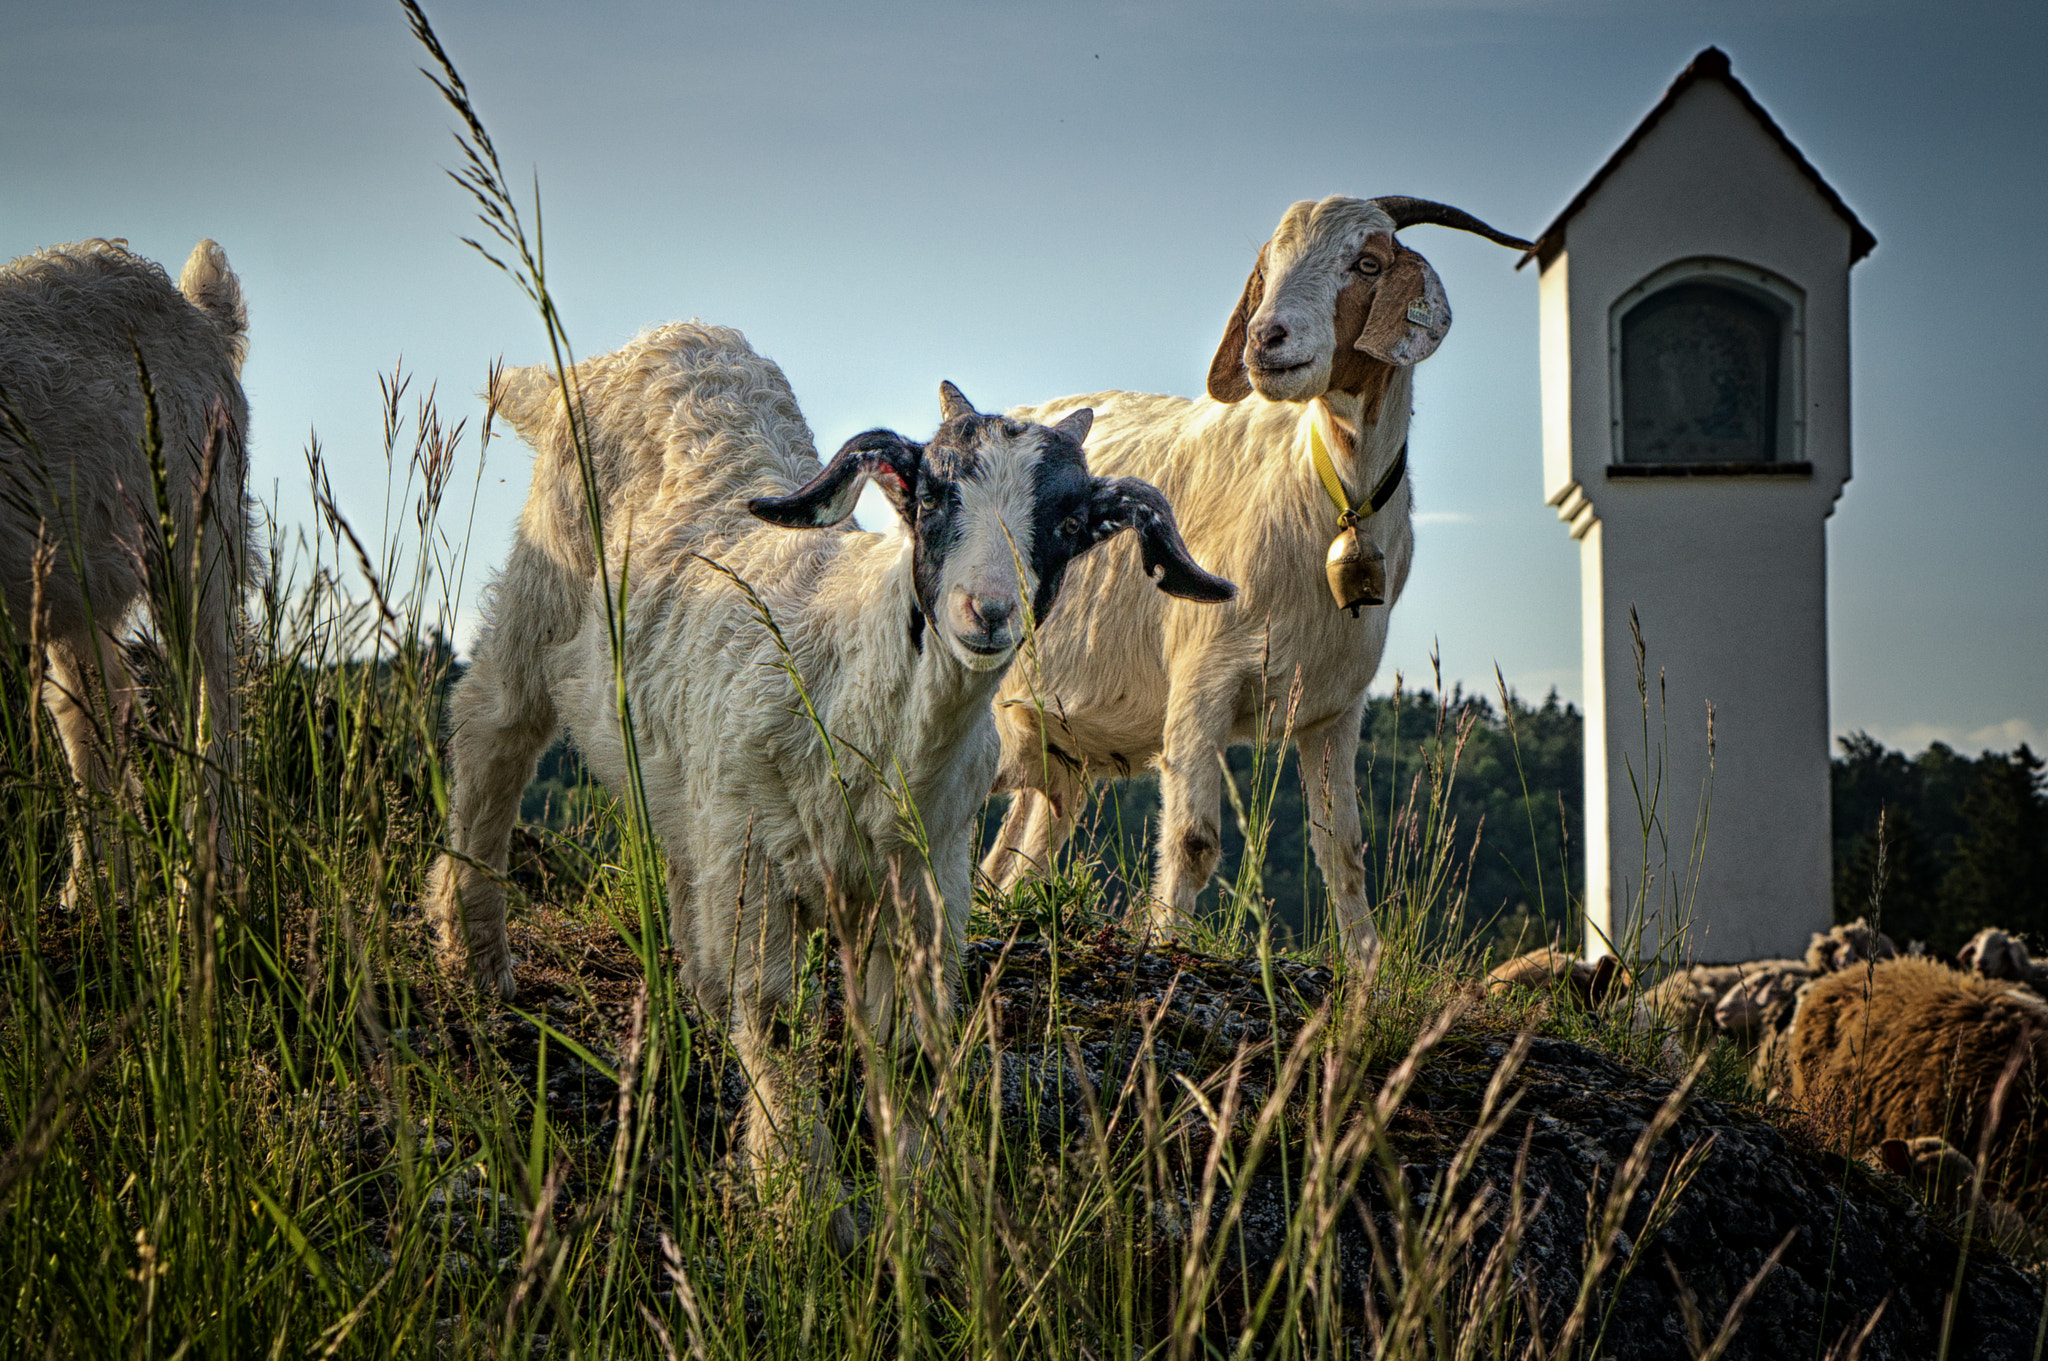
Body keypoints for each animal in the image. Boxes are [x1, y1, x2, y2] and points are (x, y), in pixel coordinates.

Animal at [428, 319, 1228, 1244]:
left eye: (1066, 519)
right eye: (933, 497)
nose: (988, 612)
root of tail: (637, 349)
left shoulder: (925, 886)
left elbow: (910, 1048)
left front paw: (917, 1207)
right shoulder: (761, 868)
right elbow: (777, 1024)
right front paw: (800, 1199)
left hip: (691, 780)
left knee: (677, 852)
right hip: (543, 591)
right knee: (492, 730)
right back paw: (473, 951)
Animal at [983, 199, 1531, 966]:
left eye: (1367, 263)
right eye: (1266, 271)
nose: (1266, 338)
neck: (1326, 491)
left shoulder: (1336, 707)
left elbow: (1344, 851)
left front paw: (1367, 966)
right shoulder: (1201, 681)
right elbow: (1192, 841)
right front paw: (1166, 945)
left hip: (1053, 744)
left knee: (1013, 856)